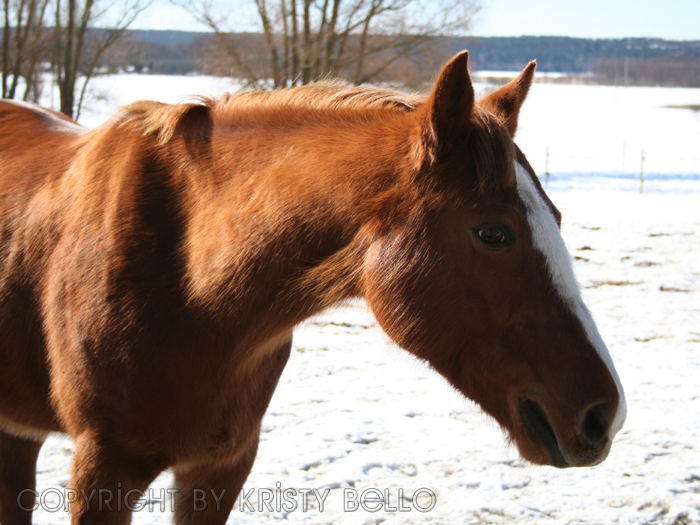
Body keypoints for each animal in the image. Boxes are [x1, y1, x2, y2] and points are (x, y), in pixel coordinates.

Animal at [0, 50, 628, 524]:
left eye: (557, 217)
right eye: (493, 233)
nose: (605, 415)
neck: (190, 286)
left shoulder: (221, 466)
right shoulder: (104, 469)